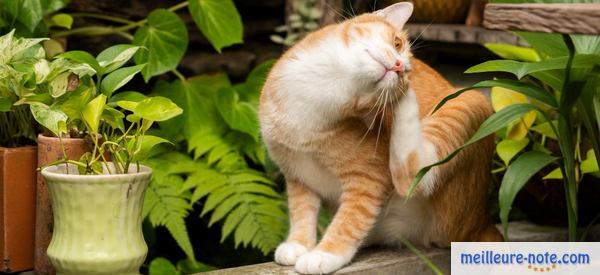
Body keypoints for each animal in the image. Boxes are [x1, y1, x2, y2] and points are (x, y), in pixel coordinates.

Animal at [258, 1, 502, 274]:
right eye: (397, 43)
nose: (401, 68)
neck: (318, 91)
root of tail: (482, 219)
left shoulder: (368, 178)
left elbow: (349, 221)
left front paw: (325, 253)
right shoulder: (298, 176)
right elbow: (301, 211)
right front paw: (298, 244)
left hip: (469, 101)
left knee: (413, 176)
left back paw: (406, 98)